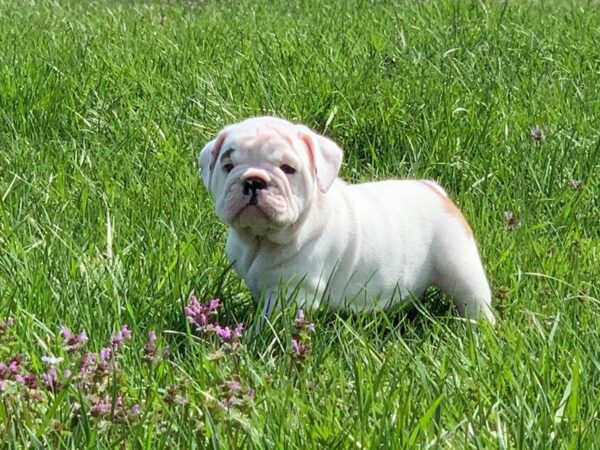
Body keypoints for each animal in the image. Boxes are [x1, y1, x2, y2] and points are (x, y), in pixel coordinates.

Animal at [199, 116, 494, 326]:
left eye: (287, 169)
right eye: (227, 166)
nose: (253, 180)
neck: (260, 239)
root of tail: (434, 189)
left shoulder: (294, 289)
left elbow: (270, 322)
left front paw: (254, 340)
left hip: (459, 265)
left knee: (474, 299)